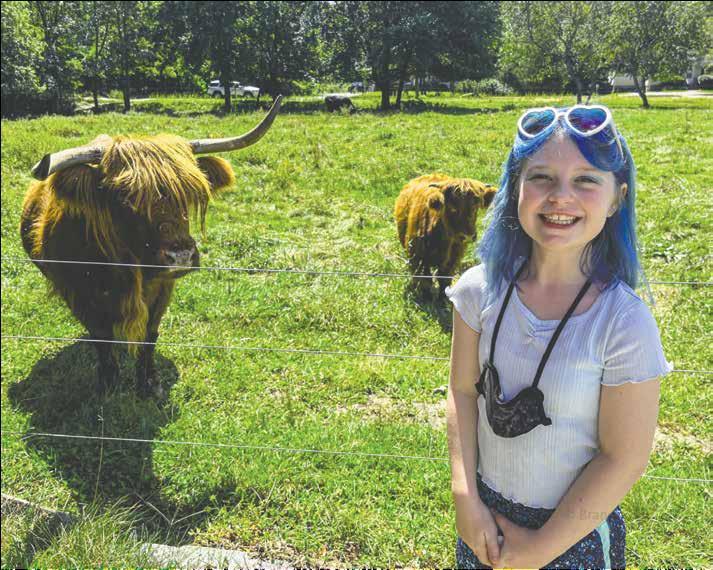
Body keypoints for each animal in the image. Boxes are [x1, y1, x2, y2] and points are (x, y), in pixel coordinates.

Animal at [20, 97, 282, 398]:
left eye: (189, 193)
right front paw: (108, 384)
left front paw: (150, 383)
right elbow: (102, 339)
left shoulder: (163, 287)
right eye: (124, 197)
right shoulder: (77, 293)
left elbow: (149, 335)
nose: (181, 256)